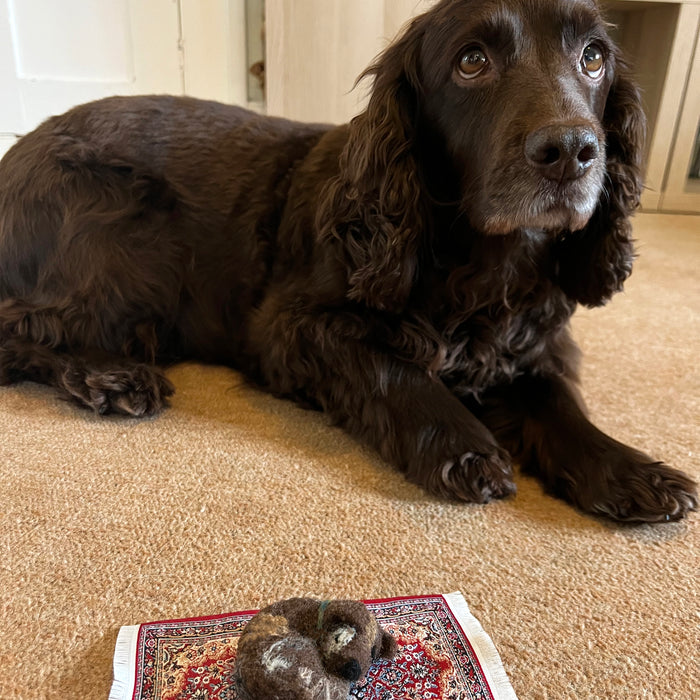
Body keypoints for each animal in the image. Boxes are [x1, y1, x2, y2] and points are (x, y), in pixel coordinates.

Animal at [0, 0, 696, 520]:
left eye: (594, 57)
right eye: (472, 61)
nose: (573, 150)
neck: (483, 262)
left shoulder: (531, 342)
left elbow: (558, 403)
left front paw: (631, 469)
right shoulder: (292, 328)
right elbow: (396, 370)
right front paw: (465, 447)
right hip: (127, 233)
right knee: (24, 327)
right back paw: (110, 378)